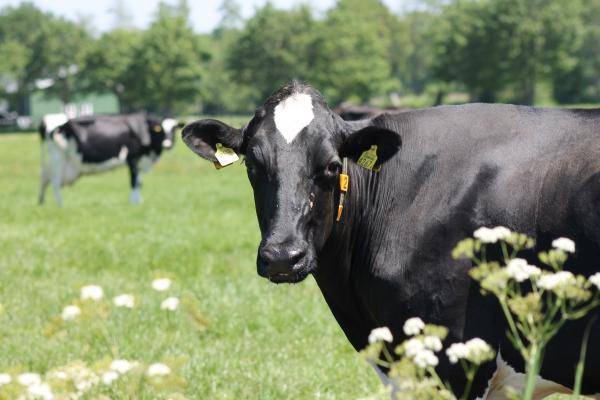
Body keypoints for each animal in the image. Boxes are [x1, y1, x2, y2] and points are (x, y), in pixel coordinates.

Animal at [38, 113, 182, 205]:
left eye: (174, 129)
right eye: (161, 130)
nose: (168, 144)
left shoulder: (141, 161)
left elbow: (139, 182)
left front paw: (139, 201)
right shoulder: (133, 159)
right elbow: (133, 182)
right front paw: (134, 203)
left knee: (44, 178)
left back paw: (42, 202)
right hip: (57, 158)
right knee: (54, 182)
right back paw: (61, 204)